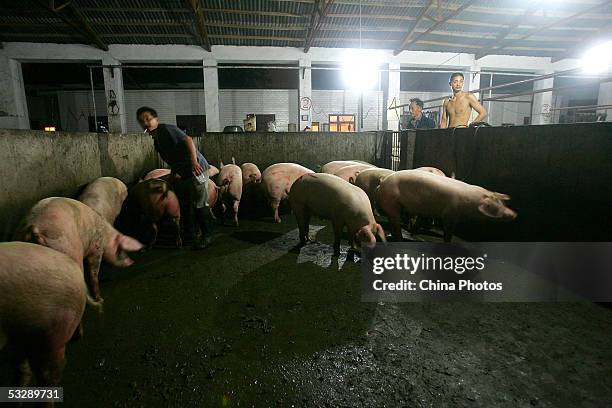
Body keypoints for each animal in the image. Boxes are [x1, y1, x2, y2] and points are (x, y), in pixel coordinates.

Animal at [13, 197, 143, 306]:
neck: (106, 234)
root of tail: (34, 228)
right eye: (120, 248)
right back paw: (96, 303)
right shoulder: (97, 247)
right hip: (68, 248)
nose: (131, 262)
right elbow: (93, 273)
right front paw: (101, 299)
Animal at [376, 170, 512, 241]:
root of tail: (381, 184)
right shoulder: (449, 214)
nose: (514, 214)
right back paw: (399, 238)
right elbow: (448, 231)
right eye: (491, 206)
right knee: (395, 221)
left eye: (500, 202)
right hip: (391, 203)